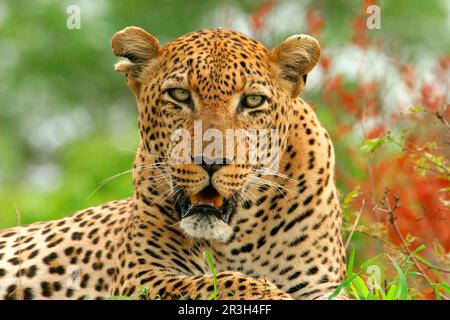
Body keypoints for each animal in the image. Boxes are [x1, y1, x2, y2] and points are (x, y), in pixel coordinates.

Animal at [0, 27, 344, 300]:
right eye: (179, 95)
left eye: (253, 101)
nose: (210, 161)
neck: (234, 240)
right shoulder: (141, 276)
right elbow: (220, 282)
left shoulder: (322, 285)